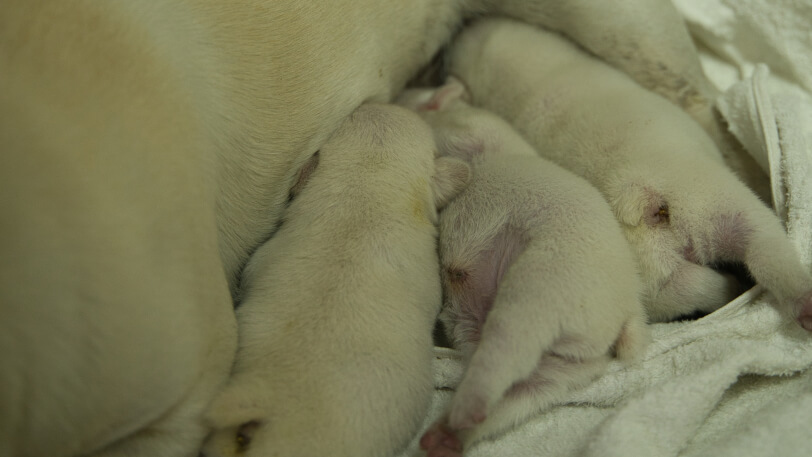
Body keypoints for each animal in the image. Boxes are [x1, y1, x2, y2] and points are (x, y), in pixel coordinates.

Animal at [396, 81, 652, 452]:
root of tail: (628, 311)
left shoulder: (468, 130)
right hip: (567, 369)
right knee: (519, 395)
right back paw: (444, 437)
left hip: (542, 289)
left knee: (504, 352)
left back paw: (463, 409)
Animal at [444, 18, 812, 324]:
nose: (464, 26)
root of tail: (639, 199)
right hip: (718, 209)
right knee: (764, 250)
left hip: (669, 268)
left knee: (721, 275)